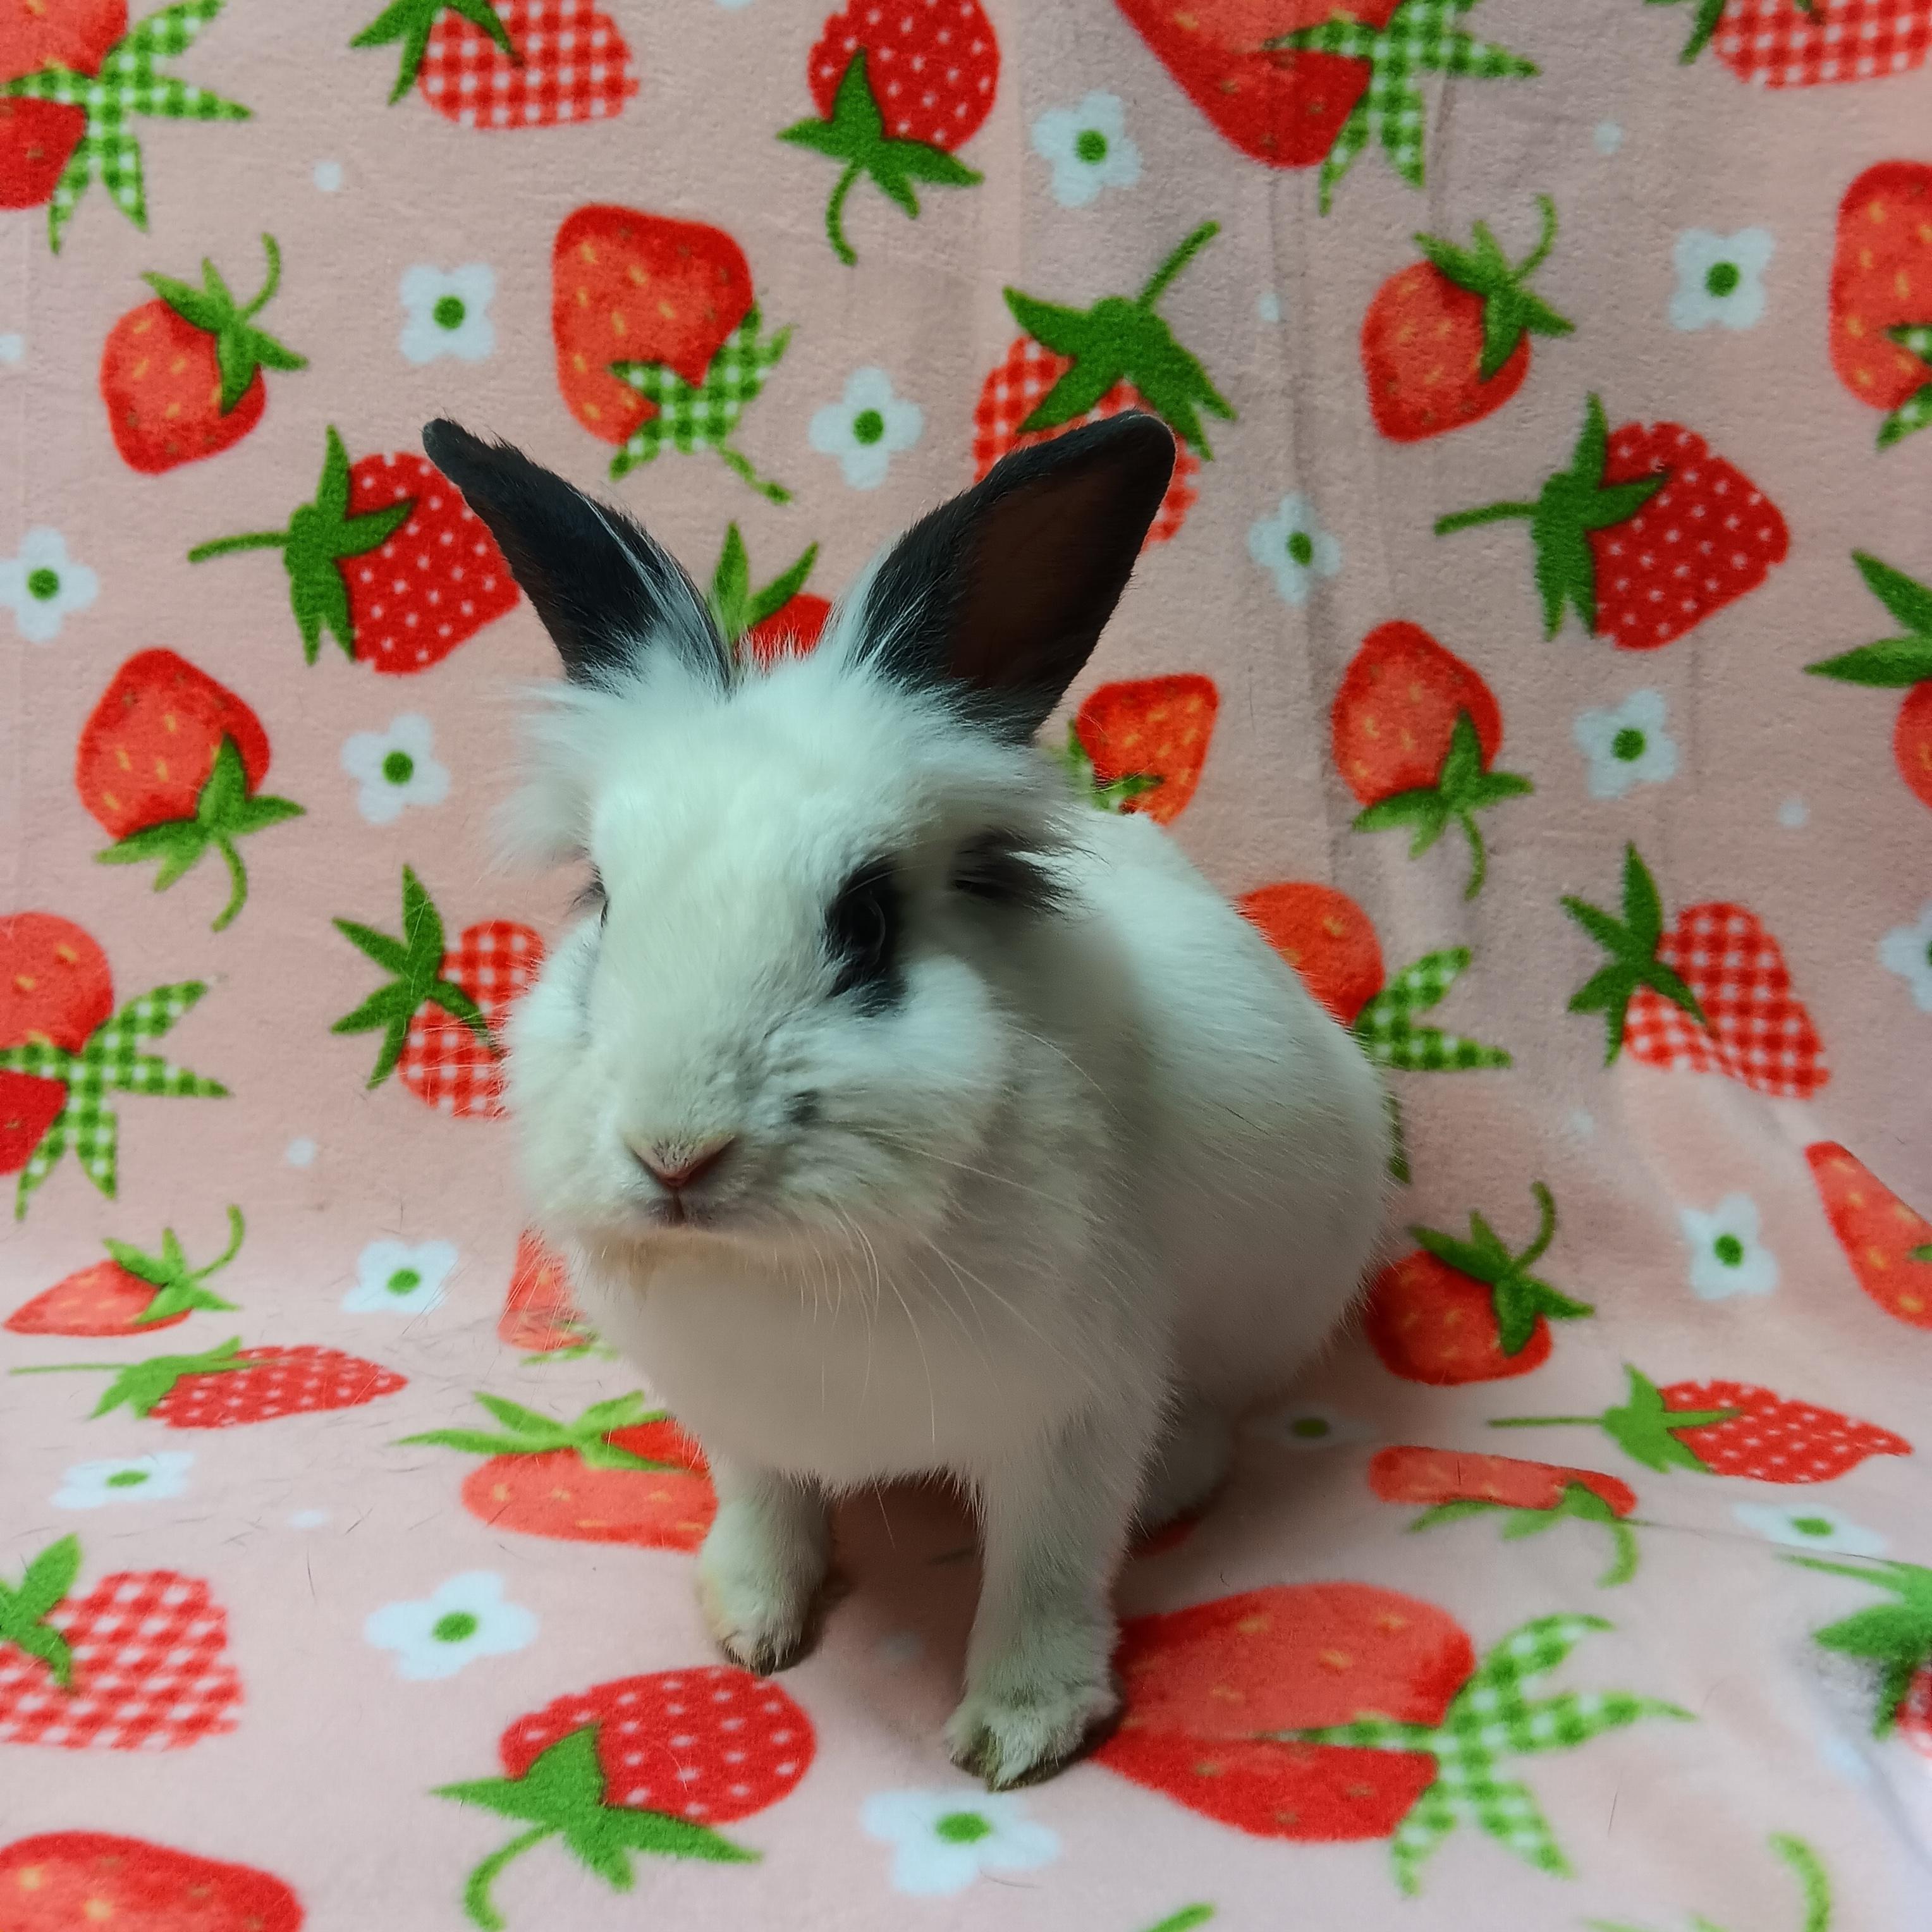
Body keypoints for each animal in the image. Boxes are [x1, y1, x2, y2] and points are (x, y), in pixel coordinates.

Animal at [422, 410, 1390, 1789]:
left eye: (867, 923)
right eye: (604, 904)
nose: (675, 1153)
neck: (789, 1270)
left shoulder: (1073, 1414)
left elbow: (1044, 1571)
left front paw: (1020, 1731)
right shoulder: (739, 1420)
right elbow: (766, 1505)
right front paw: (749, 1626)